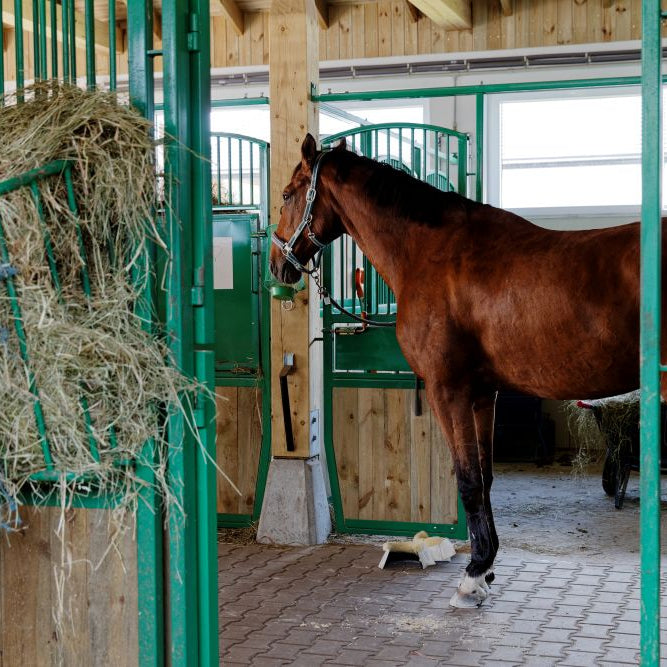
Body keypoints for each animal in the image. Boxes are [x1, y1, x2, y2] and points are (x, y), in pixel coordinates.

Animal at [269, 133, 661, 608]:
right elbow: (487, 478)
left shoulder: (448, 390)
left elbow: (469, 482)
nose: (277, 263)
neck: (429, 253)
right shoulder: (482, 393)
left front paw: (472, 575)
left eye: (287, 194)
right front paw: (487, 565)